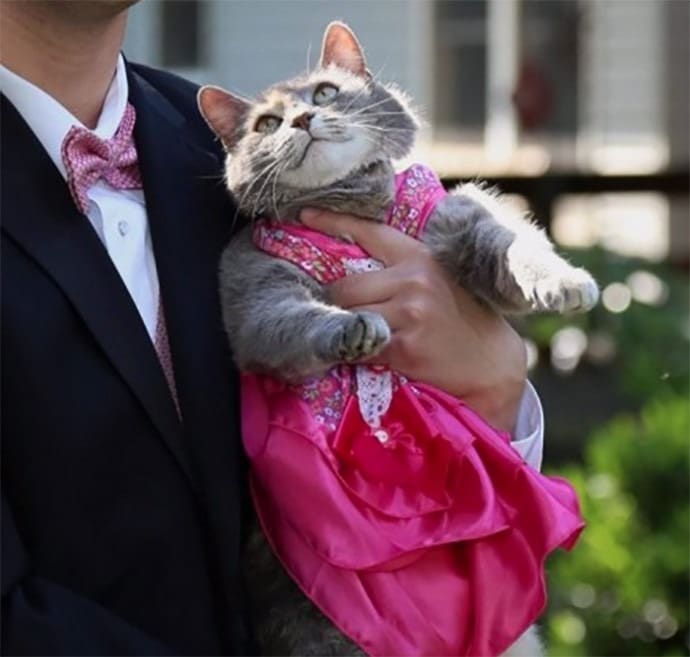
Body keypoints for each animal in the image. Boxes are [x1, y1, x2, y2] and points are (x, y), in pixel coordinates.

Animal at [199, 20, 596, 656]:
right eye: (266, 124)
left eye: (326, 93)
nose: (302, 120)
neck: (357, 212)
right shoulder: (254, 296)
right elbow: (293, 320)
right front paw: (354, 327)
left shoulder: (460, 215)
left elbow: (514, 244)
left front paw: (563, 281)